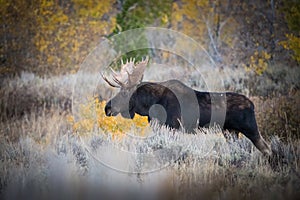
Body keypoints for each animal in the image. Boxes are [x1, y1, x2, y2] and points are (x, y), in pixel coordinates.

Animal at [102, 56, 272, 156]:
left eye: (125, 93)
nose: (107, 108)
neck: (151, 105)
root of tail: (252, 105)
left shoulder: (174, 127)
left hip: (250, 128)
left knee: (267, 149)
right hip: (230, 132)